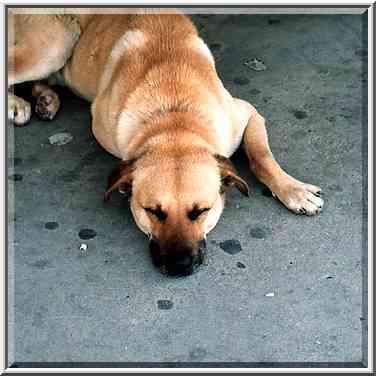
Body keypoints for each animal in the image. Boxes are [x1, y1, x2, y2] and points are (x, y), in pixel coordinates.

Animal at [8, 10, 324, 276]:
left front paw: (293, 190)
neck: (174, 117)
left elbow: (261, 157)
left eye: (201, 211)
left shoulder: (247, 113)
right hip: (53, 46)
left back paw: (46, 98)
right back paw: (17, 103)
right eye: (153, 212)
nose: (178, 267)